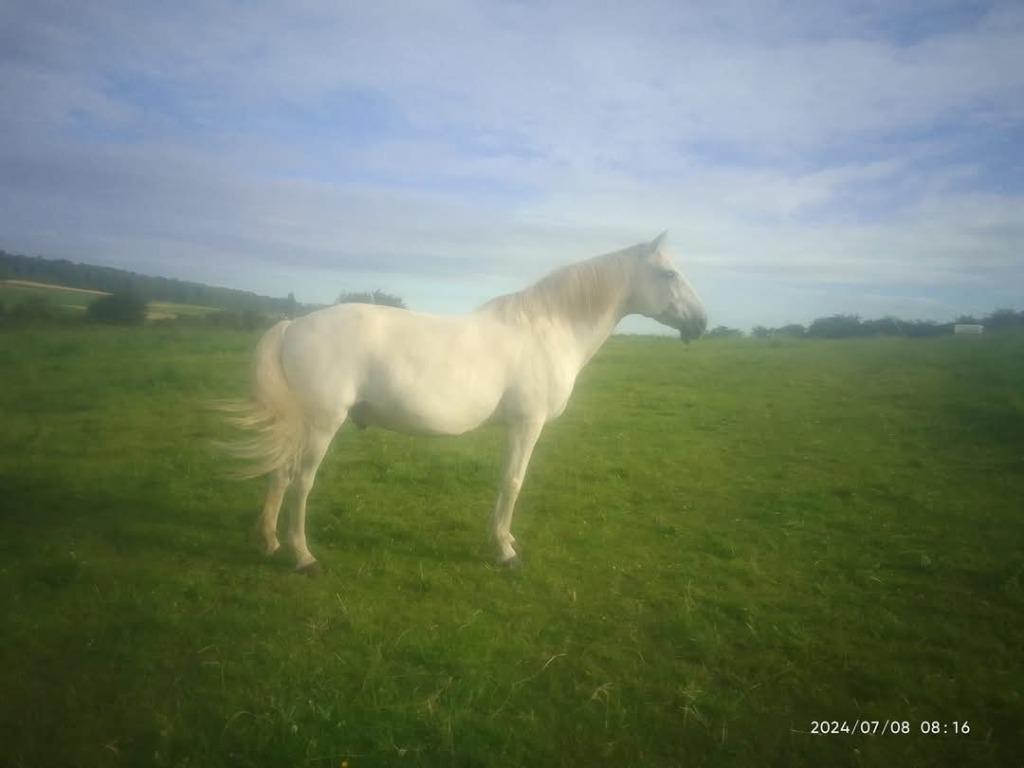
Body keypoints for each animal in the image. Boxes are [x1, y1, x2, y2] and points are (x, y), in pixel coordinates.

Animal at [222, 232, 706, 574]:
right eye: (669, 275)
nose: (702, 324)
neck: (546, 330)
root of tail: (292, 326)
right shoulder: (526, 424)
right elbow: (513, 482)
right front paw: (506, 551)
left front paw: (503, 540)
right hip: (321, 424)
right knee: (302, 482)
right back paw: (303, 556)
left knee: (280, 475)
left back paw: (270, 542)